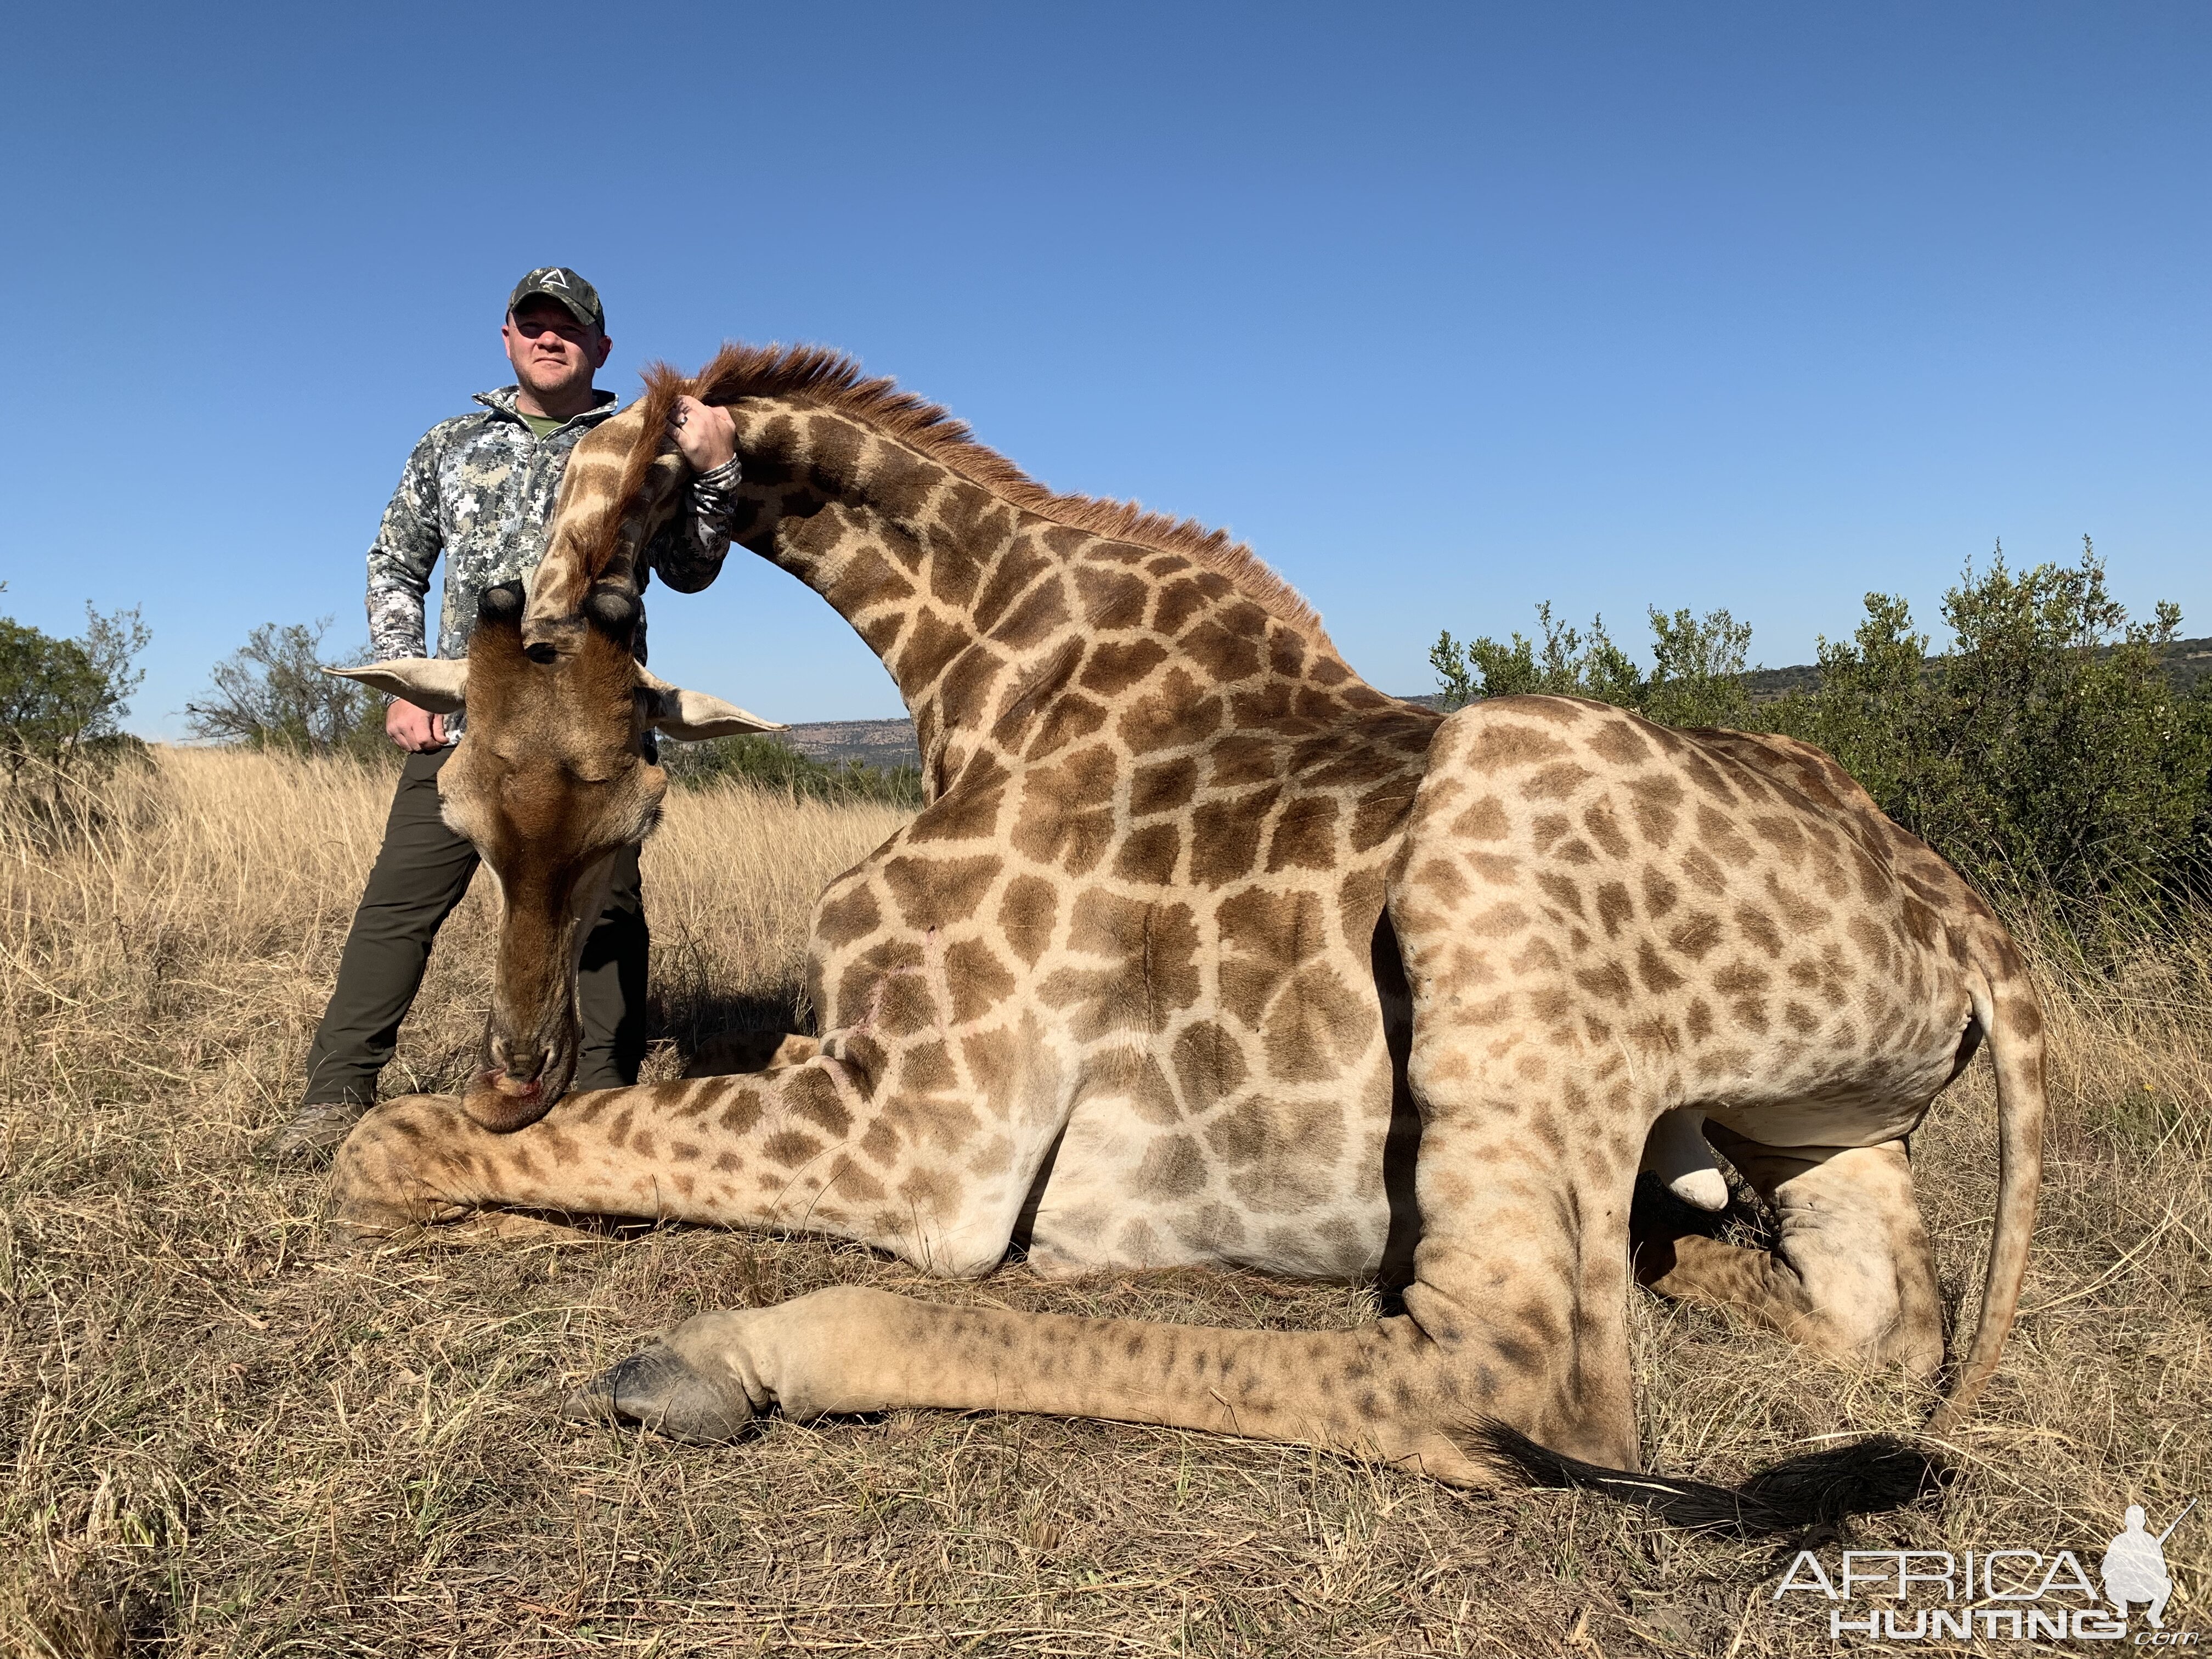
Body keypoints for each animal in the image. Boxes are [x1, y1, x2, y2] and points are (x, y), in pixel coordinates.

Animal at [336, 345, 2044, 1531]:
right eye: (462, 811)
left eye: (641, 807)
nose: (516, 1067)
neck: (978, 679)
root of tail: (1968, 915)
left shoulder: (925, 1137)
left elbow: (387, 1150)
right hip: (1820, 1125)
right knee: (1882, 1323)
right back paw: (1699, 1267)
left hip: (1501, 807)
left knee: (1524, 1387)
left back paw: (736, 1348)